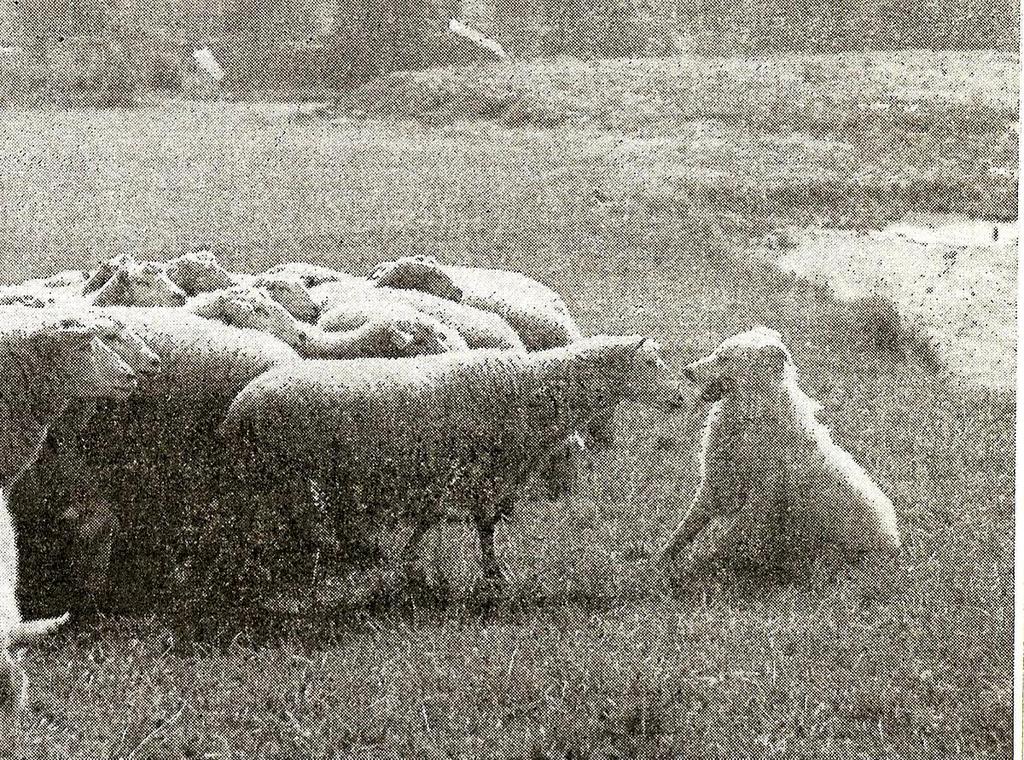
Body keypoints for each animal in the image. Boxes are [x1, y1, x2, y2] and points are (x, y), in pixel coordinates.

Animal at [218, 335, 679, 598]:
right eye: (650, 364)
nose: (679, 396)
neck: (533, 386)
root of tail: (240, 406)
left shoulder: (459, 469)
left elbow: (439, 518)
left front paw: (411, 566)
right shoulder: (481, 467)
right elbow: (482, 522)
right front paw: (492, 576)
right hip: (281, 472)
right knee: (268, 521)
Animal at [659, 323, 901, 573]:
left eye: (724, 358)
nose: (686, 370)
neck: (753, 414)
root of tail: (895, 543)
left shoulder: (759, 499)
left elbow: (719, 541)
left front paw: (693, 567)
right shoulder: (714, 483)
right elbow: (685, 528)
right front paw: (660, 563)